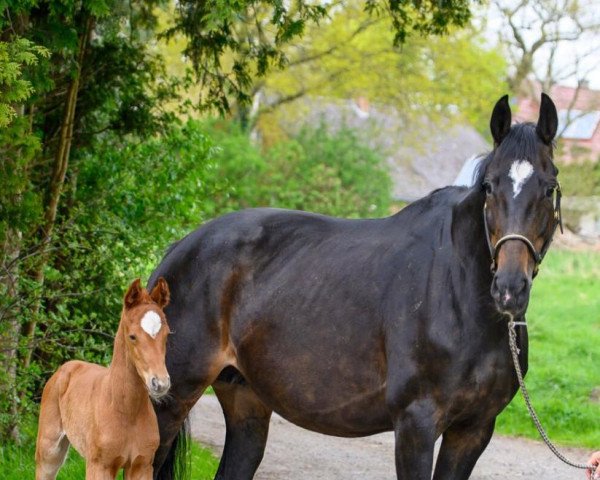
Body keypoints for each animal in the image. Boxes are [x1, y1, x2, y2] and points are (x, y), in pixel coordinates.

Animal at [35, 280, 171, 478]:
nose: (160, 383)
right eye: (132, 336)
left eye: (167, 335)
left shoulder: (142, 466)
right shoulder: (100, 466)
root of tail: (65, 367)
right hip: (49, 450)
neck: (126, 411)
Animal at [151, 94, 564, 480]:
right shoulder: (415, 425)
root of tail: (181, 248)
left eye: (549, 188)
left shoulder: (473, 431)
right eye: (490, 186)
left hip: (246, 402)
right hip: (169, 402)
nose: (509, 288)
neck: (459, 296)